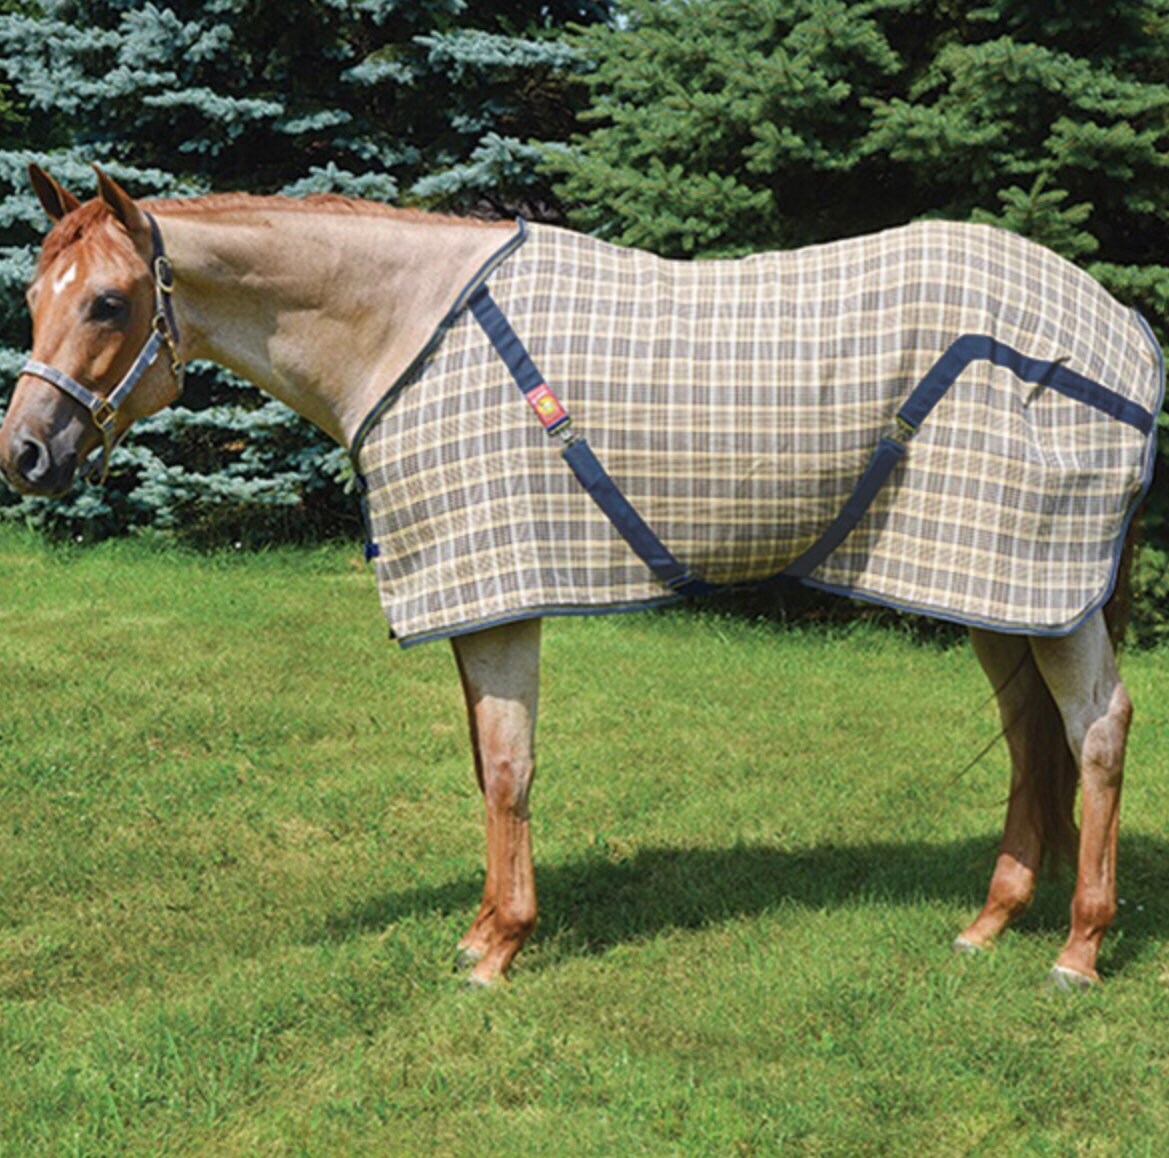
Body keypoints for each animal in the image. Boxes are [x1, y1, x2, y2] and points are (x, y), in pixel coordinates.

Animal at [0, 164, 1159, 990]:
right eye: (34, 295)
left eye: (108, 303)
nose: (25, 454)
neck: (405, 337)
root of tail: (1124, 332)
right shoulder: (477, 602)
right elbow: (485, 768)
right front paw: (482, 930)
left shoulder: (499, 597)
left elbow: (510, 770)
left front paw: (499, 950)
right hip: (993, 587)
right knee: (1031, 737)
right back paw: (990, 923)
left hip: (1044, 591)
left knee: (1096, 730)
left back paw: (1077, 950)